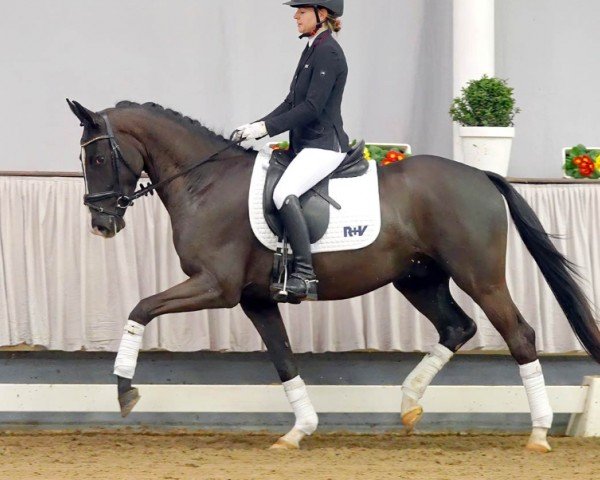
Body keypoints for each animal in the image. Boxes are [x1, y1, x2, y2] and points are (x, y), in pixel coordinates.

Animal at [67, 99, 600, 452]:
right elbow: (283, 359)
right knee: (457, 327)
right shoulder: (255, 298)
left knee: (519, 334)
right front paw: (298, 430)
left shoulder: (215, 287)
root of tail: (480, 175)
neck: (205, 183)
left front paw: (124, 390)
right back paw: (409, 402)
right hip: (418, 279)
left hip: (479, 276)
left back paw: (538, 432)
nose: (101, 225)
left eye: (98, 158)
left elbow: (140, 308)